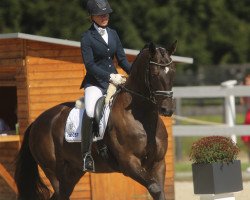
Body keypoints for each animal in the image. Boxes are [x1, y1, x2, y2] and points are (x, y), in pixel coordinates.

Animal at [14, 41, 177, 200]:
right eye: (155, 74)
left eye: (172, 72)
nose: (167, 109)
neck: (143, 120)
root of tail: (36, 123)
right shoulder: (129, 162)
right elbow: (155, 188)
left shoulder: (158, 163)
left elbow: (159, 192)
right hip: (54, 171)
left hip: (72, 172)